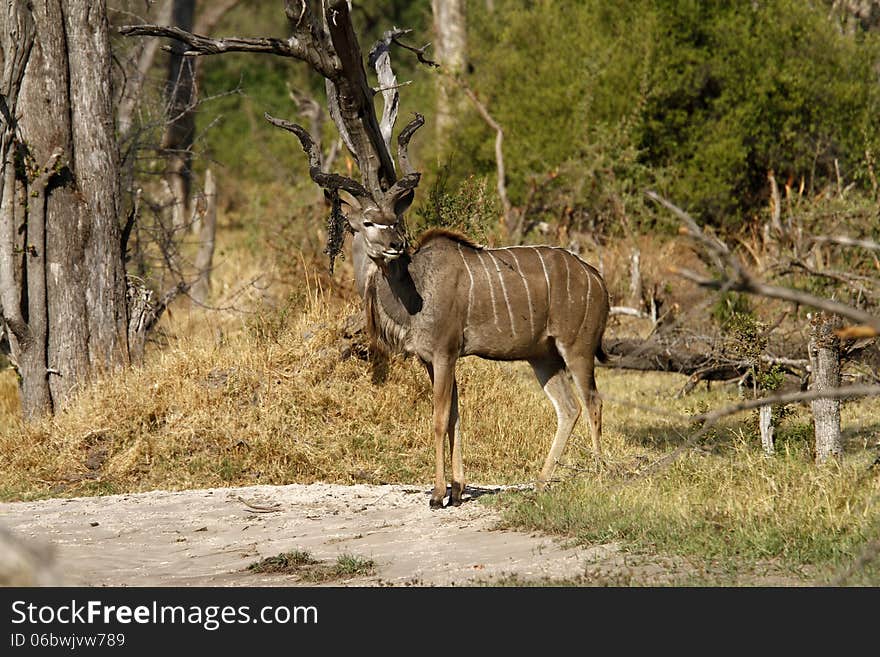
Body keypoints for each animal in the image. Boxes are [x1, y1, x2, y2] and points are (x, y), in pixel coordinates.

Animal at [272, 115, 608, 510]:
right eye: (368, 222)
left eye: (393, 218)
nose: (395, 244)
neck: (414, 288)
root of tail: (596, 277)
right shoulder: (431, 360)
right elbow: (454, 418)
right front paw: (458, 489)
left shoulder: (446, 354)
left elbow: (438, 418)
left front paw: (437, 494)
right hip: (542, 356)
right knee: (568, 408)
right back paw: (541, 482)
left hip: (577, 348)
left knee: (592, 402)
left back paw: (600, 475)